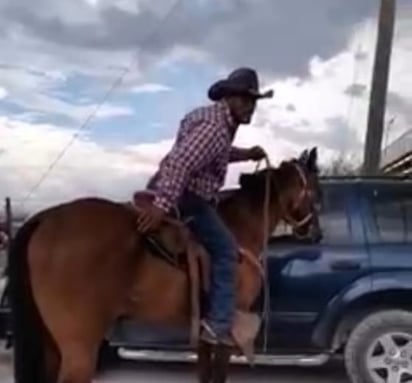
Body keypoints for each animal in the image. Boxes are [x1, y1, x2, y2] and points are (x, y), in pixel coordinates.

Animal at [8, 147, 320, 383]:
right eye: (316, 190)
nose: (316, 233)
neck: (239, 229)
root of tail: (44, 218)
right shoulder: (229, 328)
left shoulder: (205, 331)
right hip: (80, 349)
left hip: (51, 345)